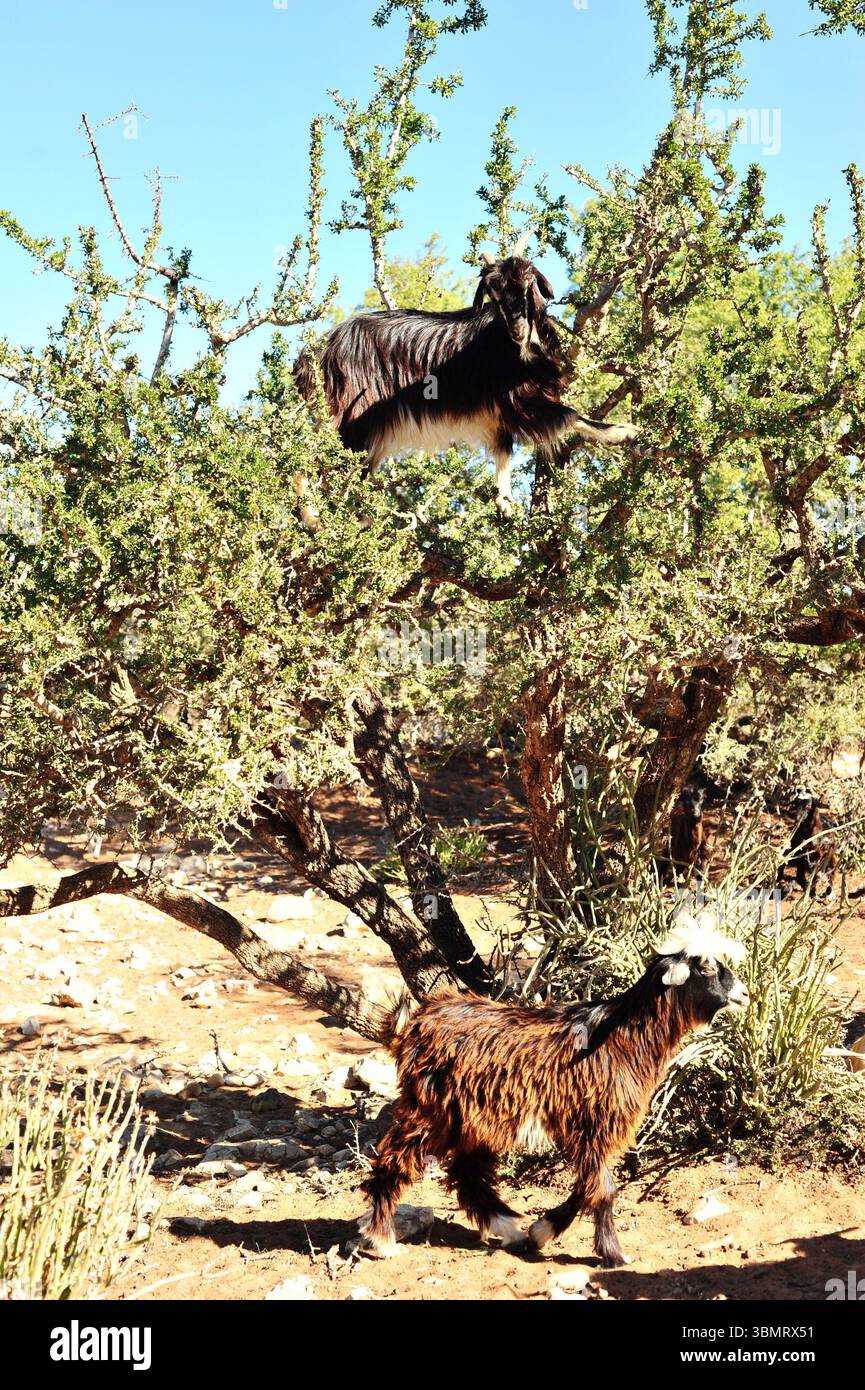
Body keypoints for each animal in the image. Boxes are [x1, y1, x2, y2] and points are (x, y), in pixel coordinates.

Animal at [293, 239, 625, 522]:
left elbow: (503, 452)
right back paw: (316, 519)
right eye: (494, 293)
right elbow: (570, 415)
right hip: (349, 416)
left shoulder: (498, 415)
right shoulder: (520, 401)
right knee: (311, 460)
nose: (517, 329)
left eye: (529, 284)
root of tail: (318, 352)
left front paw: (505, 505)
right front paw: (623, 432)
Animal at [357, 916, 748, 1266]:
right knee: (393, 1160)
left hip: (472, 1119)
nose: (744, 994)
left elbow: (587, 1186)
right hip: (430, 1110)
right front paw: (614, 1253)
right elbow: (602, 1189)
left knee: (468, 1174)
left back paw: (510, 1230)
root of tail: (415, 1022)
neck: (622, 1037)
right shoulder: (592, 1122)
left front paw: (542, 1230)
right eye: (706, 969)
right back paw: (382, 1240)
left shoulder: (586, 1130)